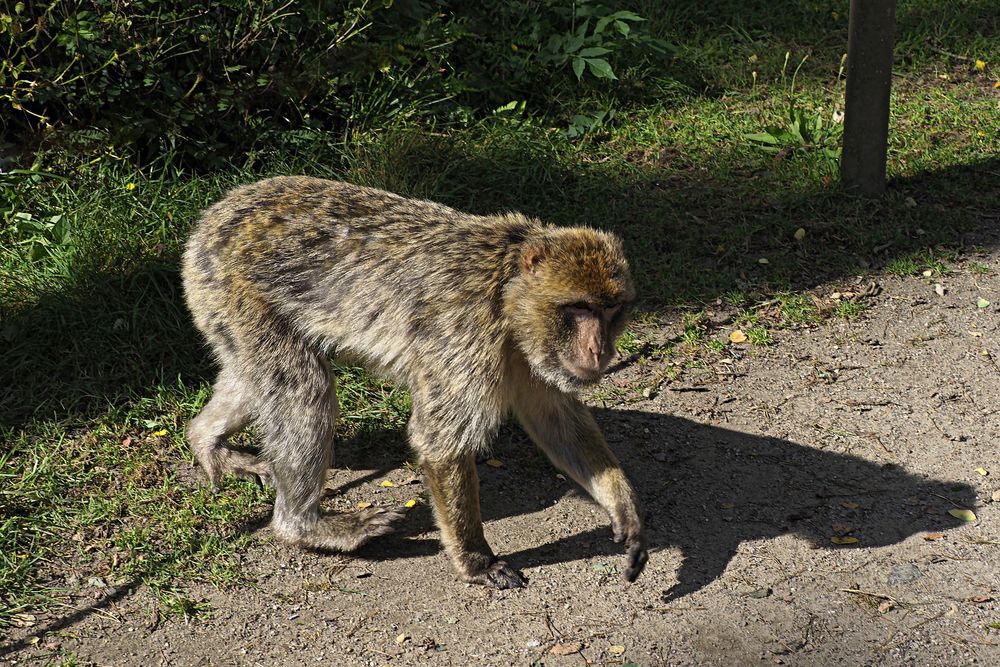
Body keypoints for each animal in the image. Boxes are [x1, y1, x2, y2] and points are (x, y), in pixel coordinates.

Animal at [180, 177, 648, 588]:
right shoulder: (464, 338)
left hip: (221, 305)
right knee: (304, 388)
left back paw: (204, 440)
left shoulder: (533, 356)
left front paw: (624, 507)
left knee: (256, 377)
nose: (599, 349)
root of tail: (215, 216)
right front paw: (476, 561)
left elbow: (557, 421)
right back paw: (302, 526)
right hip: (233, 288)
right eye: (580, 308)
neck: (505, 297)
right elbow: (441, 445)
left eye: (611, 309)